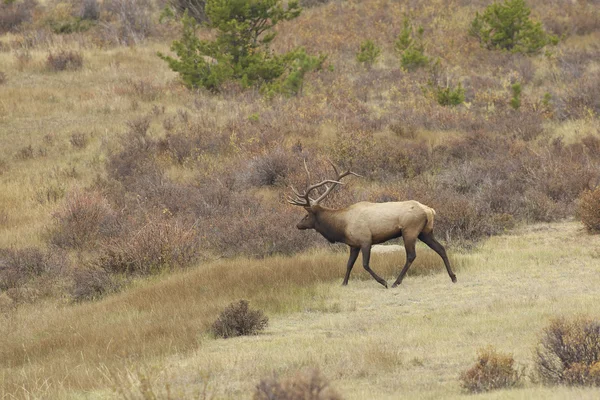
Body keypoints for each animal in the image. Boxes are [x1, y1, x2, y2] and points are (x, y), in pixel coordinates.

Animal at [288, 161, 458, 290]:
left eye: (306, 215)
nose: (298, 225)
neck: (342, 226)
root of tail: (430, 210)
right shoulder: (353, 245)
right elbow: (349, 264)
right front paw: (344, 283)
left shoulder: (365, 240)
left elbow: (365, 264)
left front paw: (383, 281)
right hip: (426, 232)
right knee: (441, 248)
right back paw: (453, 277)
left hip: (410, 231)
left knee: (411, 255)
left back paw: (396, 282)